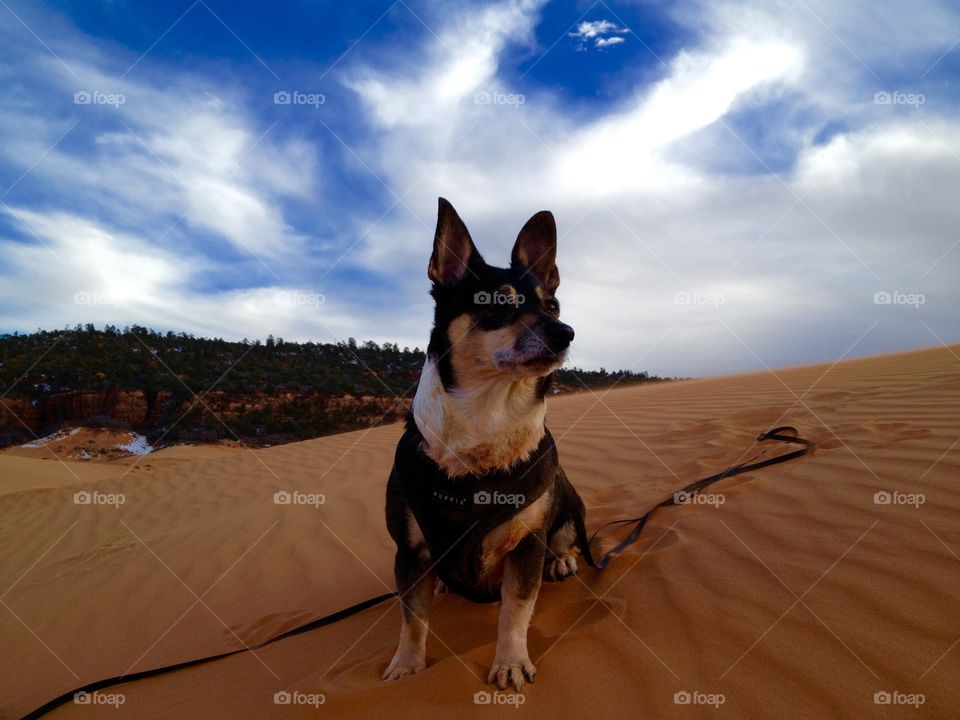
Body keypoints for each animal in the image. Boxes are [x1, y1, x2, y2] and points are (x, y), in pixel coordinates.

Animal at [382, 197, 584, 692]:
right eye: (497, 304)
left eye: (553, 305)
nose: (565, 332)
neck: (485, 422)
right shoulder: (408, 551)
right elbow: (412, 618)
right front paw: (407, 666)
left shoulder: (527, 545)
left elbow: (515, 610)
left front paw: (510, 662)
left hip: (568, 505)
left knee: (565, 540)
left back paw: (562, 562)